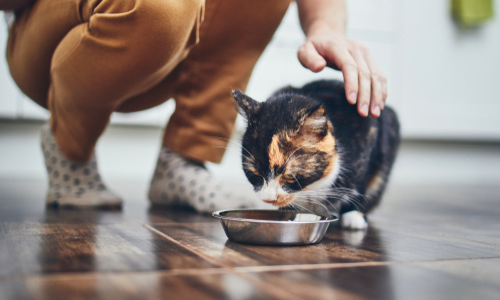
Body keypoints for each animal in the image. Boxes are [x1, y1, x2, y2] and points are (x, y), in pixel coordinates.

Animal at [232, 79, 400, 230]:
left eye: (290, 176)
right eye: (255, 174)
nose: (269, 199)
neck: (311, 188)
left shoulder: (370, 127)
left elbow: (362, 182)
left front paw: (353, 214)